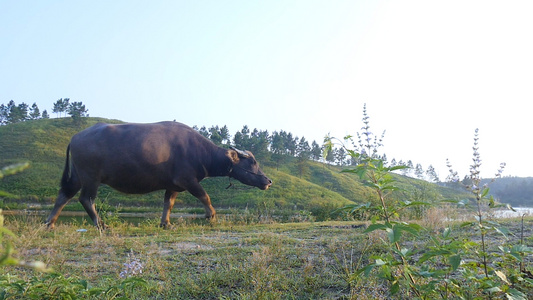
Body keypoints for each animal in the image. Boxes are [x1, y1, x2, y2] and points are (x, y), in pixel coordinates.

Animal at [43, 120, 272, 229]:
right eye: (252, 161)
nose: (268, 180)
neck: (199, 151)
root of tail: (75, 137)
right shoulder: (187, 180)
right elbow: (205, 196)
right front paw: (211, 216)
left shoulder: (173, 185)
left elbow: (167, 204)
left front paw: (166, 223)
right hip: (91, 177)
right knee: (85, 199)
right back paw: (101, 225)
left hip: (77, 176)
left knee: (64, 195)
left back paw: (49, 223)